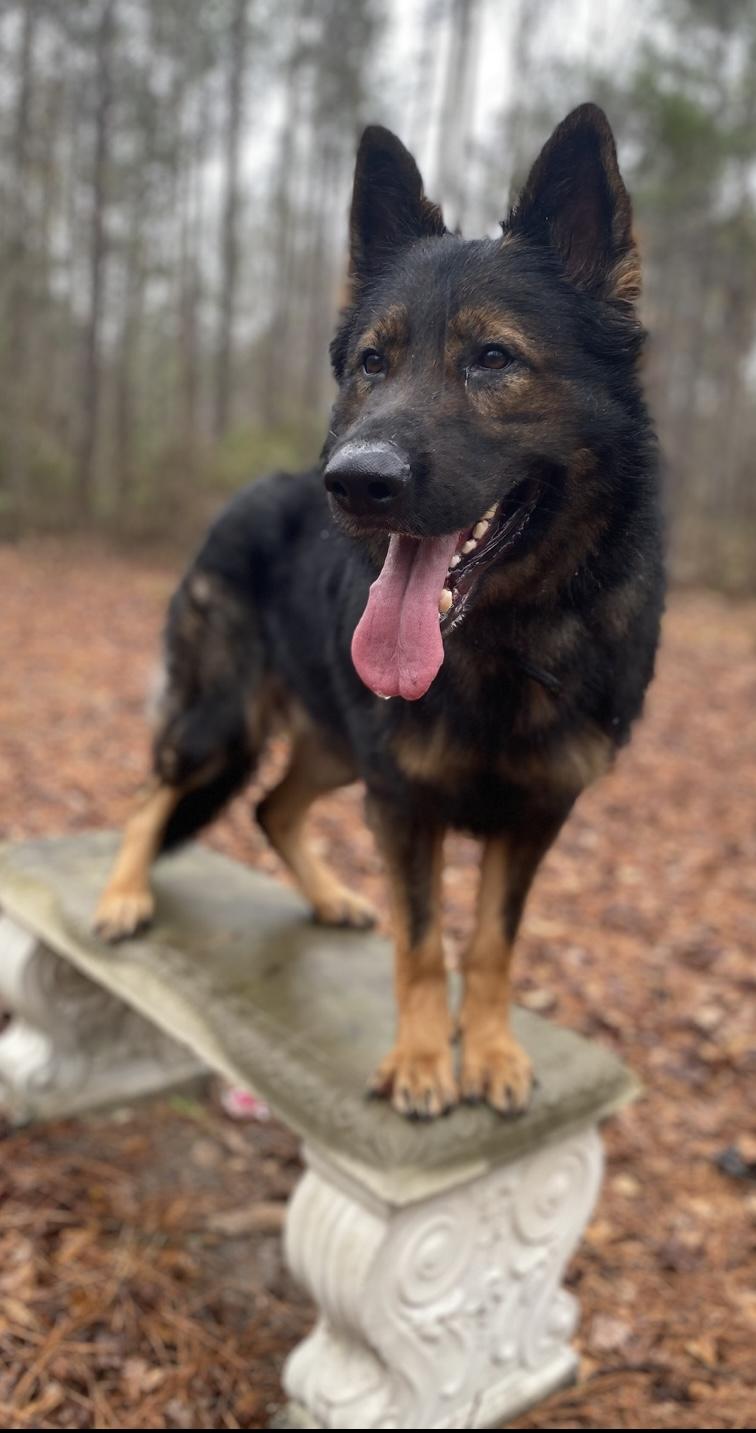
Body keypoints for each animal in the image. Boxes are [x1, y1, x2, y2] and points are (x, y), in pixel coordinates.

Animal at [94, 104, 664, 1120]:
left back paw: (328, 897)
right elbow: (422, 941)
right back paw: (124, 895)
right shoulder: (404, 804)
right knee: (152, 793)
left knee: (272, 808)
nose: (355, 483)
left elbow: (491, 942)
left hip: (331, 744)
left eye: (493, 358)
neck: (501, 647)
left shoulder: (536, 815)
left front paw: (489, 1050)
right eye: (372, 362)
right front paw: (425, 1059)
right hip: (221, 719)